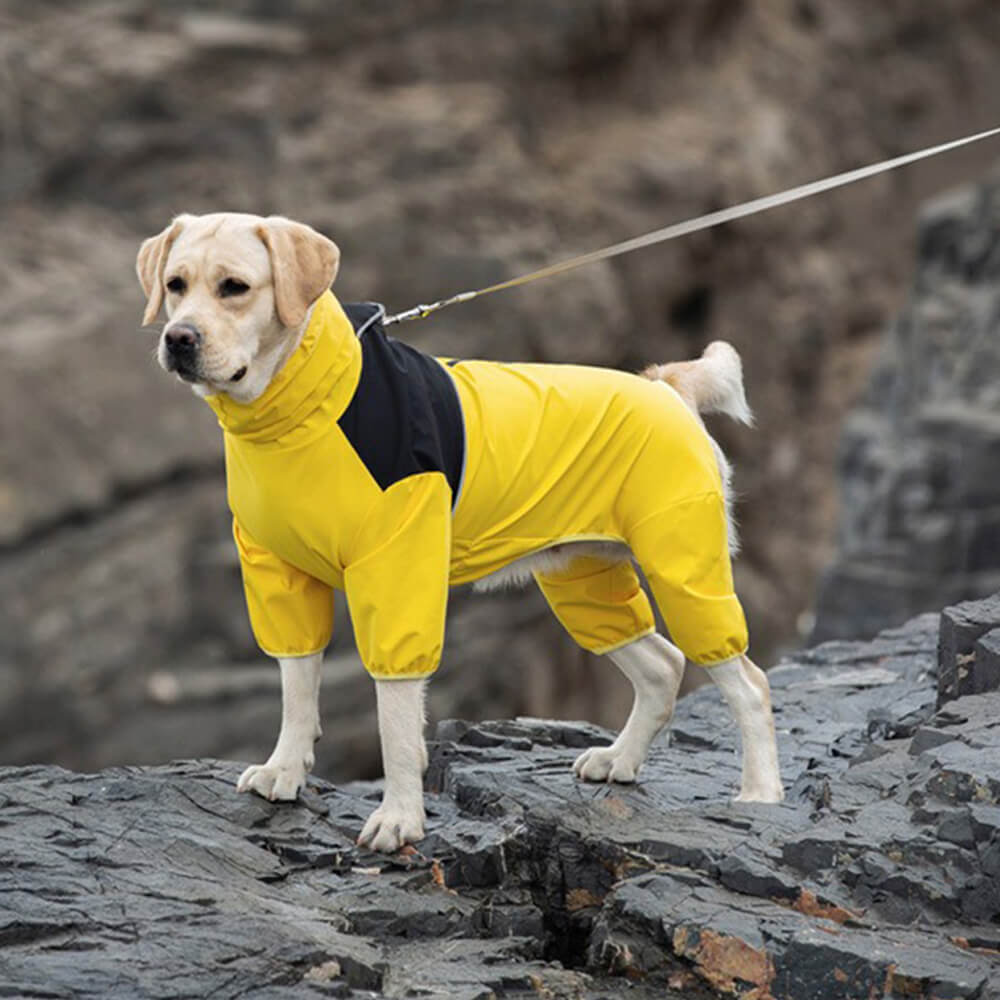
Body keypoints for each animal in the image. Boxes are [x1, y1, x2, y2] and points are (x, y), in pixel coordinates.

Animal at [137, 211, 784, 852]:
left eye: (235, 287)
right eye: (175, 285)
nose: (179, 339)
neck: (299, 412)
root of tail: (664, 385)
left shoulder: (397, 574)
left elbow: (394, 716)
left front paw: (399, 817)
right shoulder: (279, 574)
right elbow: (297, 687)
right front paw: (285, 770)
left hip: (683, 568)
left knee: (748, 683)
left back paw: (760, 794)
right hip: (584, 579)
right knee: (663, 666)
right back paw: (619, 760)